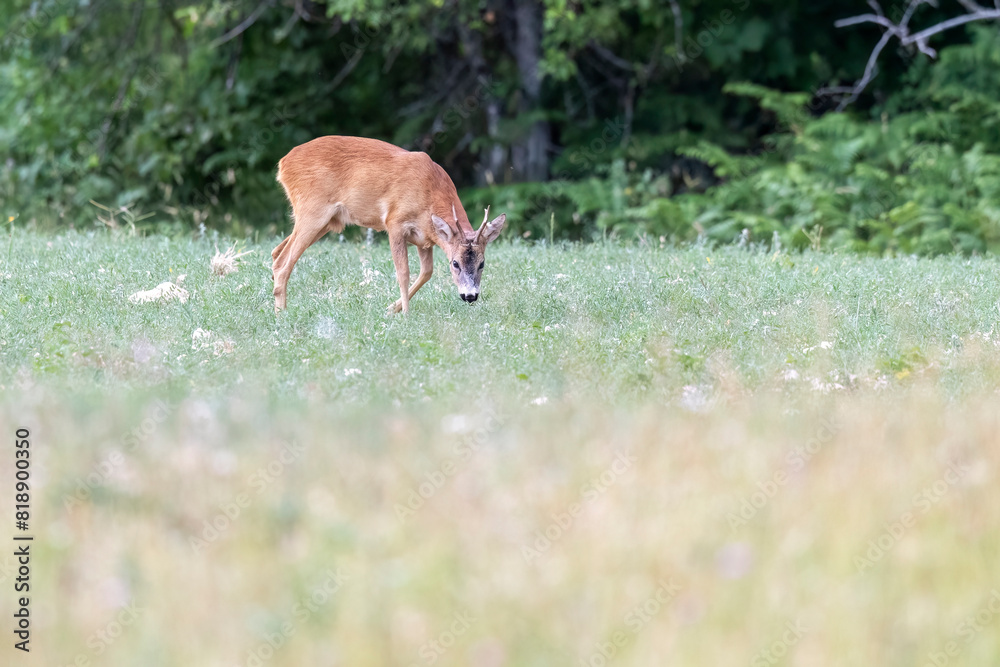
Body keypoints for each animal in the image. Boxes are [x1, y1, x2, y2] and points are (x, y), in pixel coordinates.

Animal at [271, 136, 507, 314]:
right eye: (455, 263)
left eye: (482, 264)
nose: (470, 296)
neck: (430, 192)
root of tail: (283, 163)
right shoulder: (395, 223)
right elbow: (403, 272)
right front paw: (406, 314)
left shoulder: (425, 238)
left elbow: (426, 272)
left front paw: (392, 308)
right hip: (313, 211)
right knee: (282, 262)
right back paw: (282, 314)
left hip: (326, 222)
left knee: (276, 252)